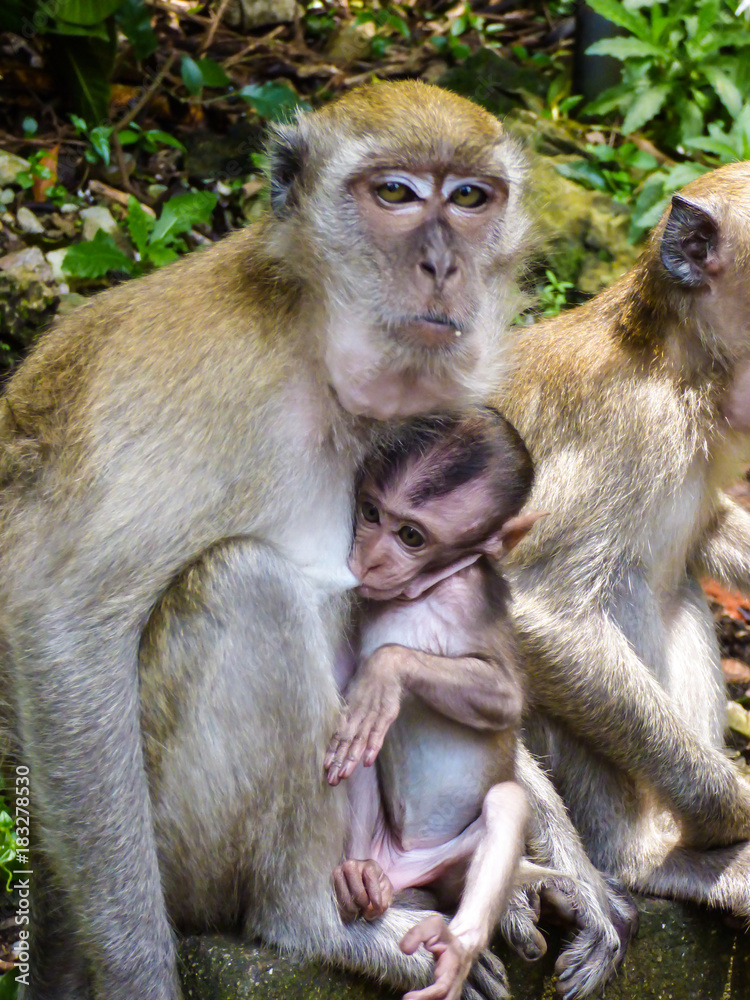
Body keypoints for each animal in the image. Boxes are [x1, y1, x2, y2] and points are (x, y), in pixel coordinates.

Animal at [324, 410, 554, 1000]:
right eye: (370, 512)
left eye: (411, 536)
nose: (368, 559)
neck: (423, 593)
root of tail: (405, 867)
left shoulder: (472, 602)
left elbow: (505, 699)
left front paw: (386, 669)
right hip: (383, 848)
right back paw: (361, 874)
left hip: (451, 867)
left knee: (506, 803)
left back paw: (458, 945)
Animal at [492, 160, 750, 931]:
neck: (682, 366)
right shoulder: (628, 430)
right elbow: (540, 614)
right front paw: (734, 813)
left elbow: (709, 530)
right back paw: (645, 859)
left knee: (676, 586)